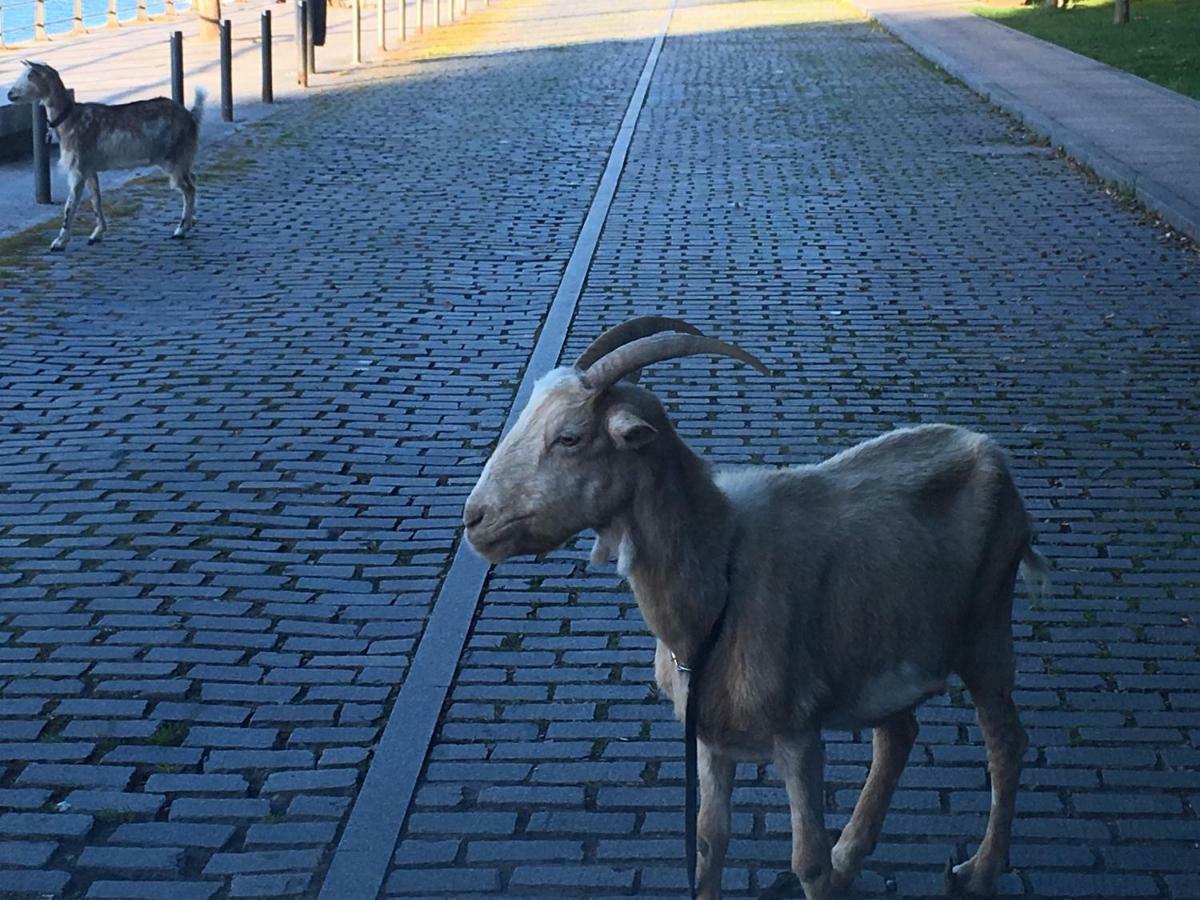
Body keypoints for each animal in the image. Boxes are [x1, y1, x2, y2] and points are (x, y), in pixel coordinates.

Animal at [6, 60, 204, 250]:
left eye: (30, 75)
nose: (9, 94)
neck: (69, 119)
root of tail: (191, 117)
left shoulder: (78, 166)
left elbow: (70, 205)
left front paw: (59, 242)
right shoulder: (89, 167)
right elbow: (95, 198)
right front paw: (96, 234)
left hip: (173, 156)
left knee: (188, 188)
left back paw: (180, 230)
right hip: (184, 157)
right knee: (193, 179)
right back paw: (191, 221)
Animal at [463, 319, 1046, 900]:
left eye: (570, 437)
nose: (475, 519)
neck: (723, 579)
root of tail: (986, 448)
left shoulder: (798, 735)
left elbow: (807, 862)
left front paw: (823, 870)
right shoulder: (710, 739)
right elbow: (708, 842)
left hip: (987, 628)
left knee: (1007, 742)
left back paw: (980, 869)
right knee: (898, 737)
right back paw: (852, 857)